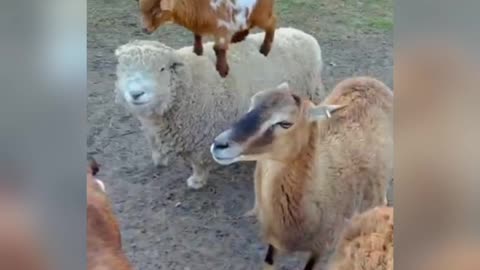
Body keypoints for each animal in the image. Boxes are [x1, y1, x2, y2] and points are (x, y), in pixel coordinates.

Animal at [115, 26, 326, 188]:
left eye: (161, 69)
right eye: (122, 70)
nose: (136, 93)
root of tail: (302, 34)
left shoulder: (199, 133)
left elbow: (197, 162)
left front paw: (197, 181)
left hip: (312, 93)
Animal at [137, 0, 276, 78]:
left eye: (157, 11)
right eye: (141, 10)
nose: (144, 29)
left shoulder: (222, 27)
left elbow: (219, 48)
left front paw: (222, 71)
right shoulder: (197, 25)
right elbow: (197, 36)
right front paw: (197, 51)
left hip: (262, 14)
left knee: (272, 22)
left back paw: (265, 50)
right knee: (247, 26)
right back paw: (237, 38)